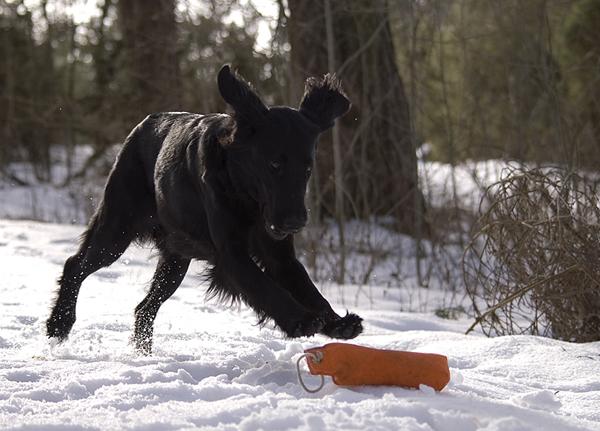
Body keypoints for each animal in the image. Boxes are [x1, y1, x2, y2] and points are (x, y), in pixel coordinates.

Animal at [46, 65, 363, 354]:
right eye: (274, 164)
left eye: (307, 169)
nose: (295, 222)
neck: (246, 194)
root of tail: (142, 125)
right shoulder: (232, 256)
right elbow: (267, 288)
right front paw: (301, 320)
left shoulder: (279, 256)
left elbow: (308, 288)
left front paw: (336, 322)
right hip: (117, 229)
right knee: (75, 265)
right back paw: (59, 324)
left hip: (175, 259)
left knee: (144, 307)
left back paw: (143, 353)